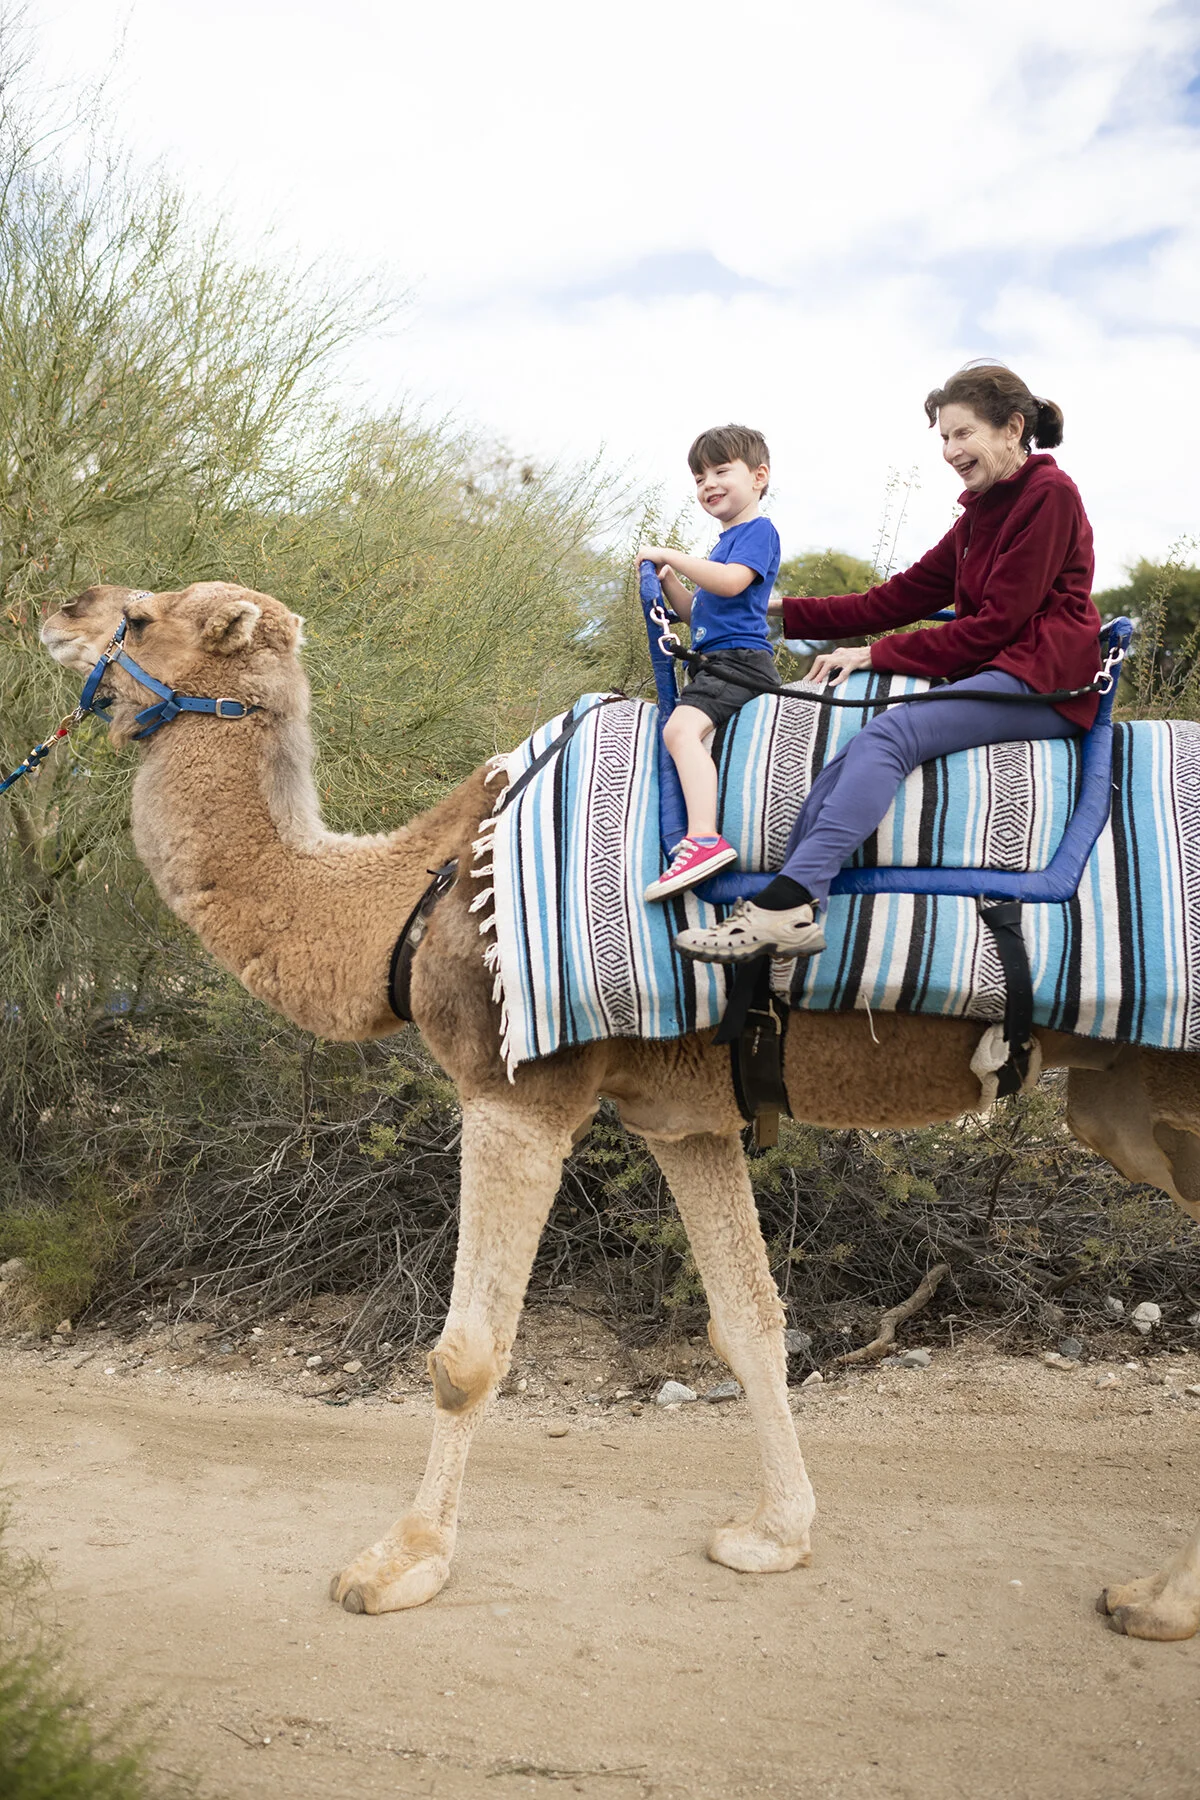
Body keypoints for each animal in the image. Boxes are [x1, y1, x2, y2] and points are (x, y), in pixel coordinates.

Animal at [36, 579, 1200, 1641]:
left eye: (141, 618)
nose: (56, 609)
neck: (425, 886)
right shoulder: (684, 1115)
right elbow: (750, 1321)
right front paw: (776, 1534)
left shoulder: (516, 1087)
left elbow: (465, 1355)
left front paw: (399, 1565)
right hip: (1127, 1100)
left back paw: (1160, 1601)